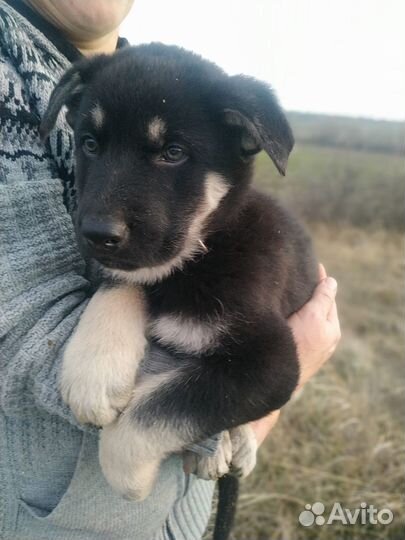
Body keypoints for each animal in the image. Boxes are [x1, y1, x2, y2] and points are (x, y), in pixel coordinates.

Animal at [41, 44, 318, 504]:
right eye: (90, 144)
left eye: (173, 153)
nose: (97, 235)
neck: (198, 256)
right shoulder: (130, 264)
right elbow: (121, 282)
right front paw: (94, 369)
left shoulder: (271, 361)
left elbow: (157, 411)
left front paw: (131, 478)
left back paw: (234, 446)